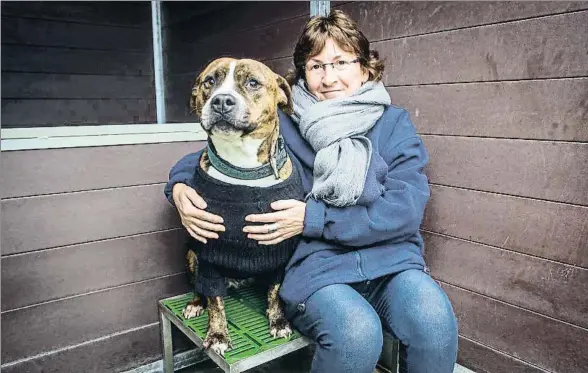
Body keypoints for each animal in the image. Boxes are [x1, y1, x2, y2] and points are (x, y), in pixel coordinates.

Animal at [183, 57, 304, 354]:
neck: (242, 167)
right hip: (191, 253)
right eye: (210, 81)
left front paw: (278, 320)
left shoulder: (280, 248)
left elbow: (276, 290)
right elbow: (215, 302)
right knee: (200, 287)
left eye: (252, 83)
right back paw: (195, 303)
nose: (221, 101)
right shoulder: (209, 250)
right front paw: (217, 335)